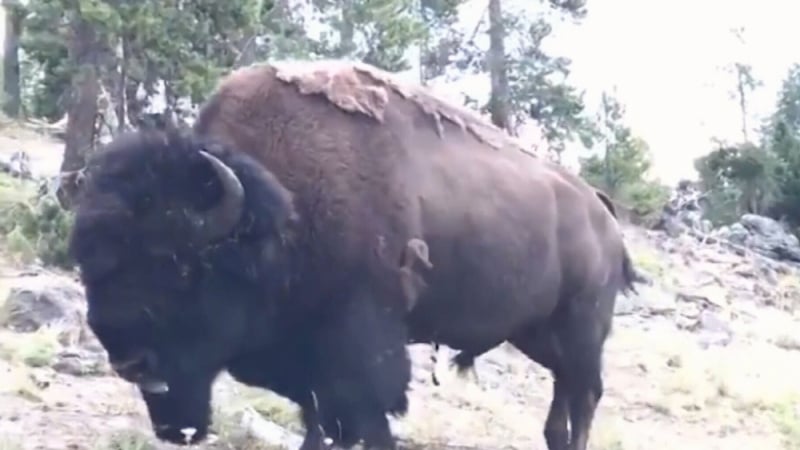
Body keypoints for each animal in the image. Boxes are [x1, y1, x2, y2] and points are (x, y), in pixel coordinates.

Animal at [69, 60, 644, 450]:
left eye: (180, 264)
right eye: (90, 262)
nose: (128, 360)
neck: (283, 209)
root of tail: (603, 213)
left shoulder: (361, 345)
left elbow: (362, 418)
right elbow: (318, 420)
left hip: (581, 330)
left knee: (584, 396)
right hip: (536, 334)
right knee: (564, 402)